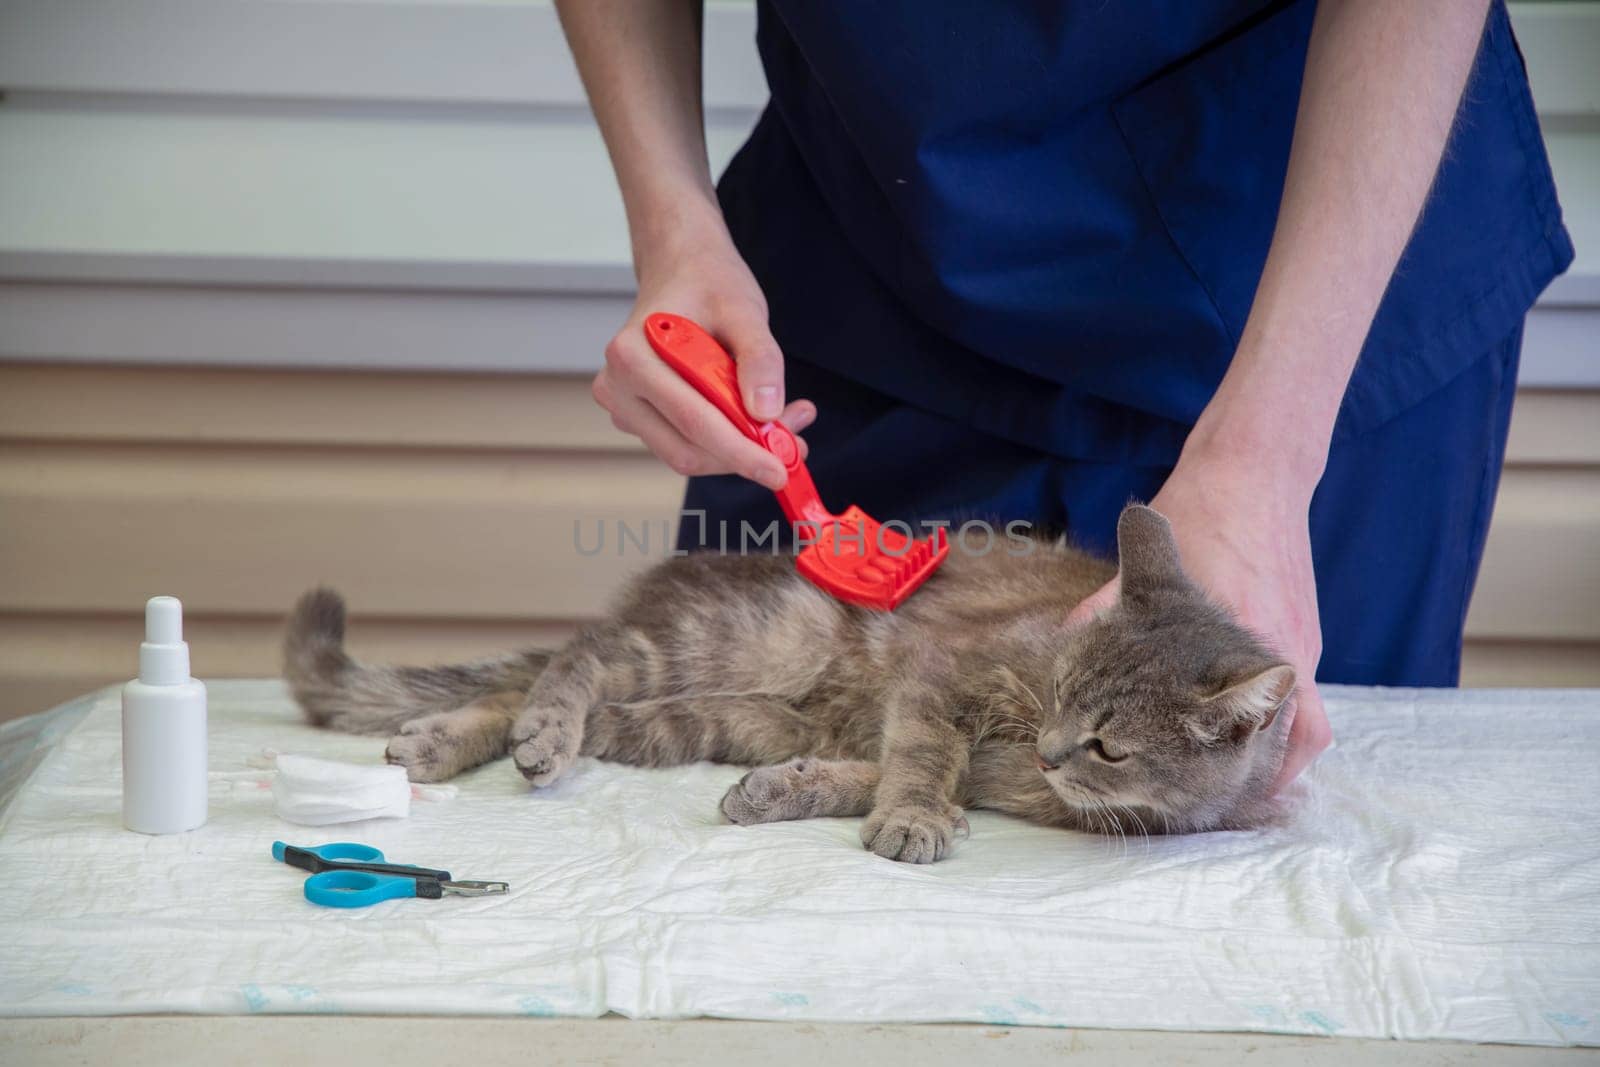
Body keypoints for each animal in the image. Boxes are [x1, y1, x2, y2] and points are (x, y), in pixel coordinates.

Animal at [281, 505, 1292, 863]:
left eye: (1108, 743)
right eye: (1063, 687)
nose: (1048, 749)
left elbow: (875, 773)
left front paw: (789, 795)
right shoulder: (944, 676)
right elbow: (922, 756)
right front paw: (913, 817)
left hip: (731, 710)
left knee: (558, 695)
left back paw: (455, 738)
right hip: (747, 636)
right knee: (575, 660)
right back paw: (535, 729)